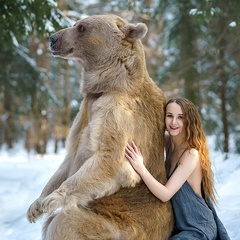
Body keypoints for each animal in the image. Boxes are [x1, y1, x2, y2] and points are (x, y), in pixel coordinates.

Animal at [26, 14, 173, 239]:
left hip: (117, 224)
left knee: (63, 223)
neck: (107, 85)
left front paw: (51, 200)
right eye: (76, 24)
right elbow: (67, 161)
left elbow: (109, 158)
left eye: (81, 27)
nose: (53, 38)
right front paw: (36, 205)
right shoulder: (84, 114)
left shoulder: (117, 112)